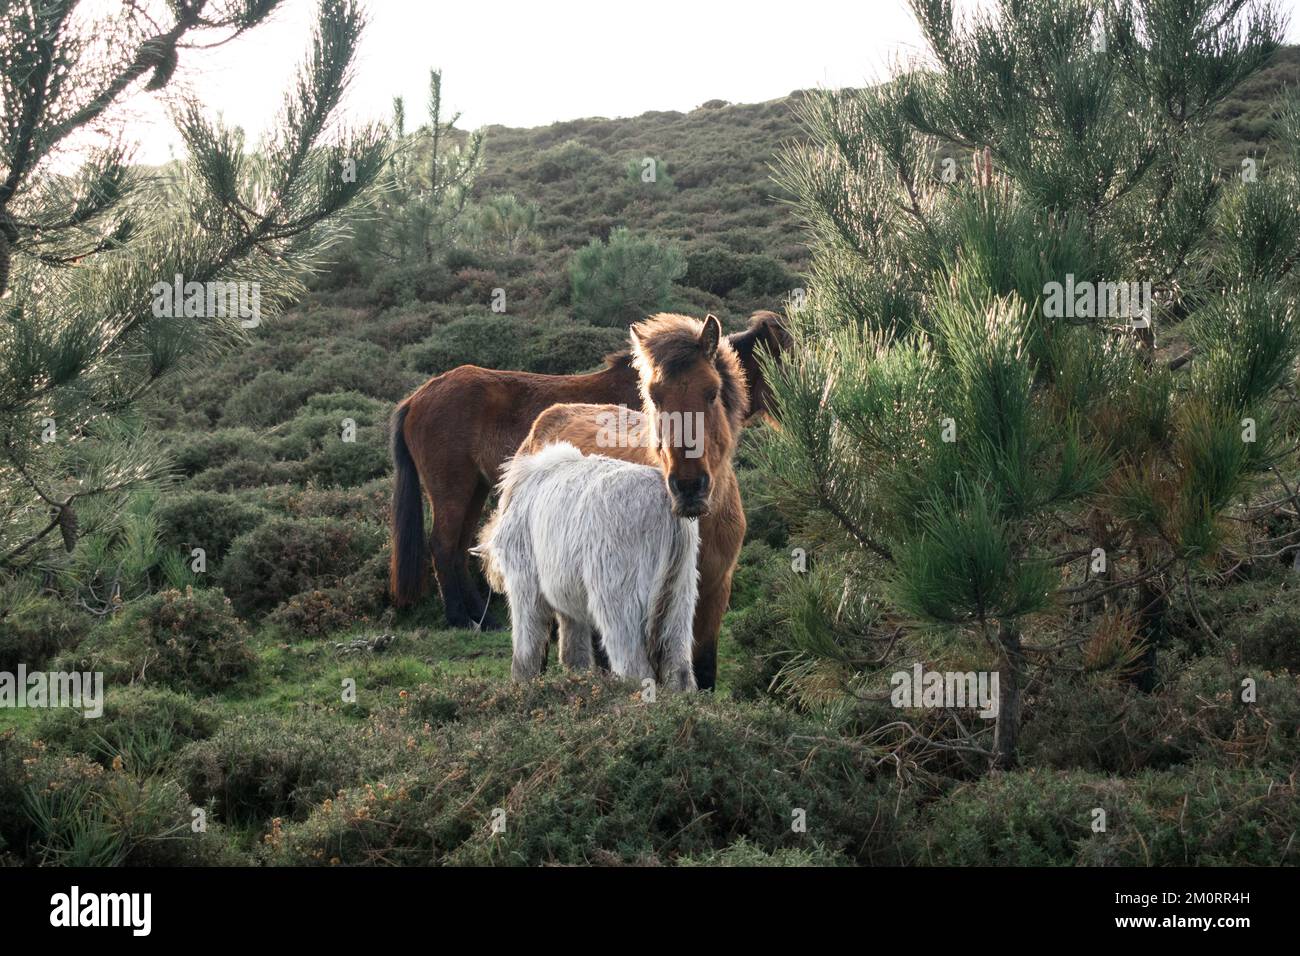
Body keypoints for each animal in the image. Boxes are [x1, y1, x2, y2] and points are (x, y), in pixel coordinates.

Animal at [390, 310, 785, 632]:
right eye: (782, 357)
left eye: (712, 393)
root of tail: (416, 397)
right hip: (453, 490)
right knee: (443, 545)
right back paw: (462, 618)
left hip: (475, 488)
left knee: (458, 547)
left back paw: (481, 617)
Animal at [478, 442, 702, 686]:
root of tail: (665, 506)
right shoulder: (566, 586)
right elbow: (573, 641)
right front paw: (578, 676)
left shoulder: (524, 573)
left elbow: (528, 630)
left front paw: (521, 681)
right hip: (680, 586)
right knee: (677, 658)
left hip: (618, 581)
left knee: (631, 658)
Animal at [512, 314, 748, 686]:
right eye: (655, 396)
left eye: (712, 392)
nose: (689, 486)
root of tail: (551, 416)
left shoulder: (713, 594)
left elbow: (704, 670)